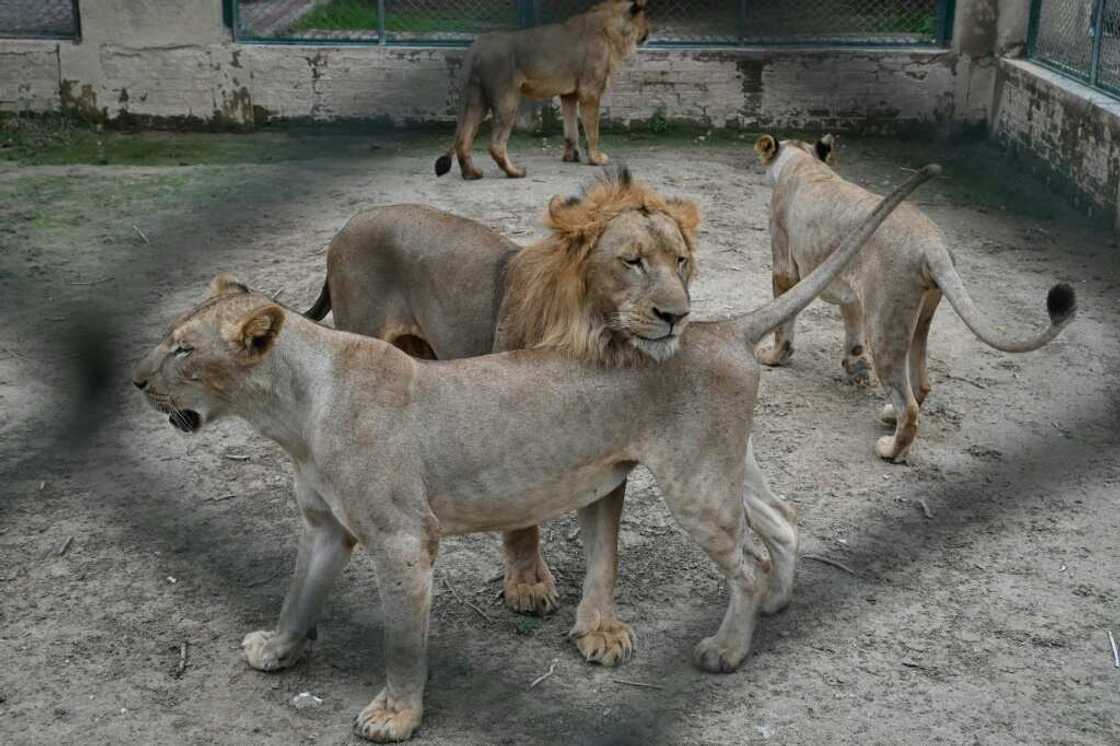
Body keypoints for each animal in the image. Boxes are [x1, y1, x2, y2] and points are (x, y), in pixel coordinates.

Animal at [305, 169, 699, 625]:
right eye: (632, 261)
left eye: (680, 261)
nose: (677, 316)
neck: (588, 337)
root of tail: (348, 225)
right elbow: (521, 522)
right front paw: (527, 585)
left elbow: (605, 547)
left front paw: (603, 627)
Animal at [433, 0, 650, 180]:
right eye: (645, 19)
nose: (649, 31)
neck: (613, 31)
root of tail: (475, 48)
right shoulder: (590, 91)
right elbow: (593, 130)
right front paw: (596, 159)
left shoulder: (569, 94)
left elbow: (571, 130)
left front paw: (571, 156)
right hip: (507, 100)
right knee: (496, 145)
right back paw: (515, 172)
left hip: (476, 100)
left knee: (463, 140)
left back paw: (472, 174)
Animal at [754, 134, 1077, 463]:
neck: (805, 163)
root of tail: (932, 244)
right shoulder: (850, 287)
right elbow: (852, 325)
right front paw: (854, 365)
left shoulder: (784, 265)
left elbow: (783, 322)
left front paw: (773, 357)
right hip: (919, 317)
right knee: (921, 382)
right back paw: (888, 416)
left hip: (885, 325)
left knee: (907, 404)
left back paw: (891, 449)